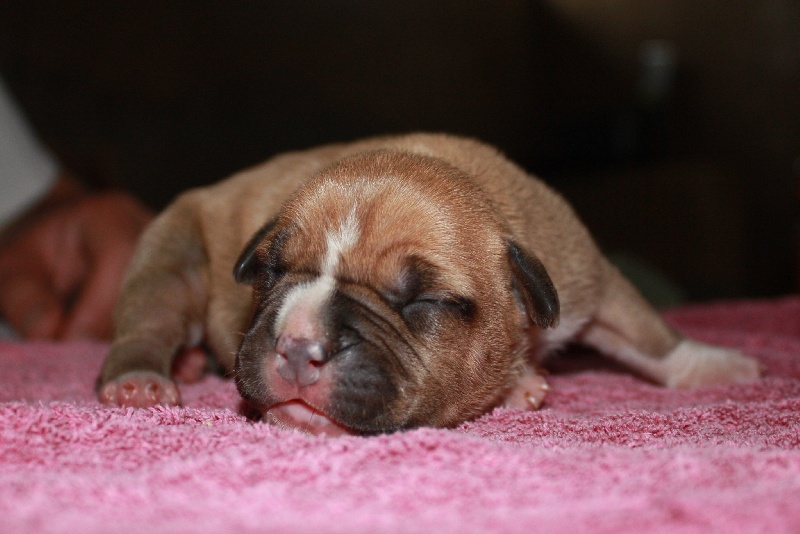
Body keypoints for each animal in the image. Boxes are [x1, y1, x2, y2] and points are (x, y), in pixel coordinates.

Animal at [98, 133, 760, 436]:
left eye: (421, 301)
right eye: (269, 273)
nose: (295, 345)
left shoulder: (589, 280)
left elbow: (649, 333)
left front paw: (716, 364)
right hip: (171, 256)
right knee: (147, 324)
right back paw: (144, 378)